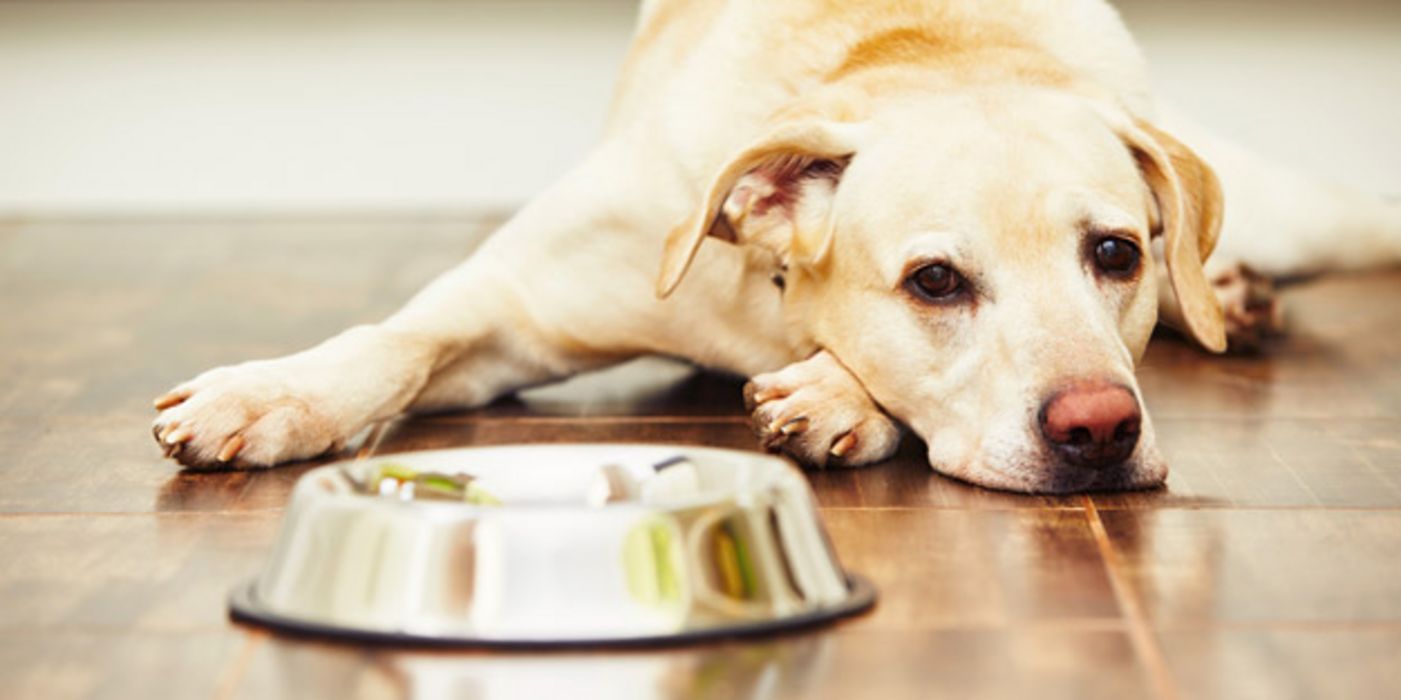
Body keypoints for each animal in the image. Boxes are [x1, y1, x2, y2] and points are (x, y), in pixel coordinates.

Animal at [150, 0, 1401, 492]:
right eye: (935, 281)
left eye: (1117, 255)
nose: (1100, 429)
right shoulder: (512, 300)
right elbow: (395, 339)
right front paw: (272, 395)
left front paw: (835, 394)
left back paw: (1233, 290)